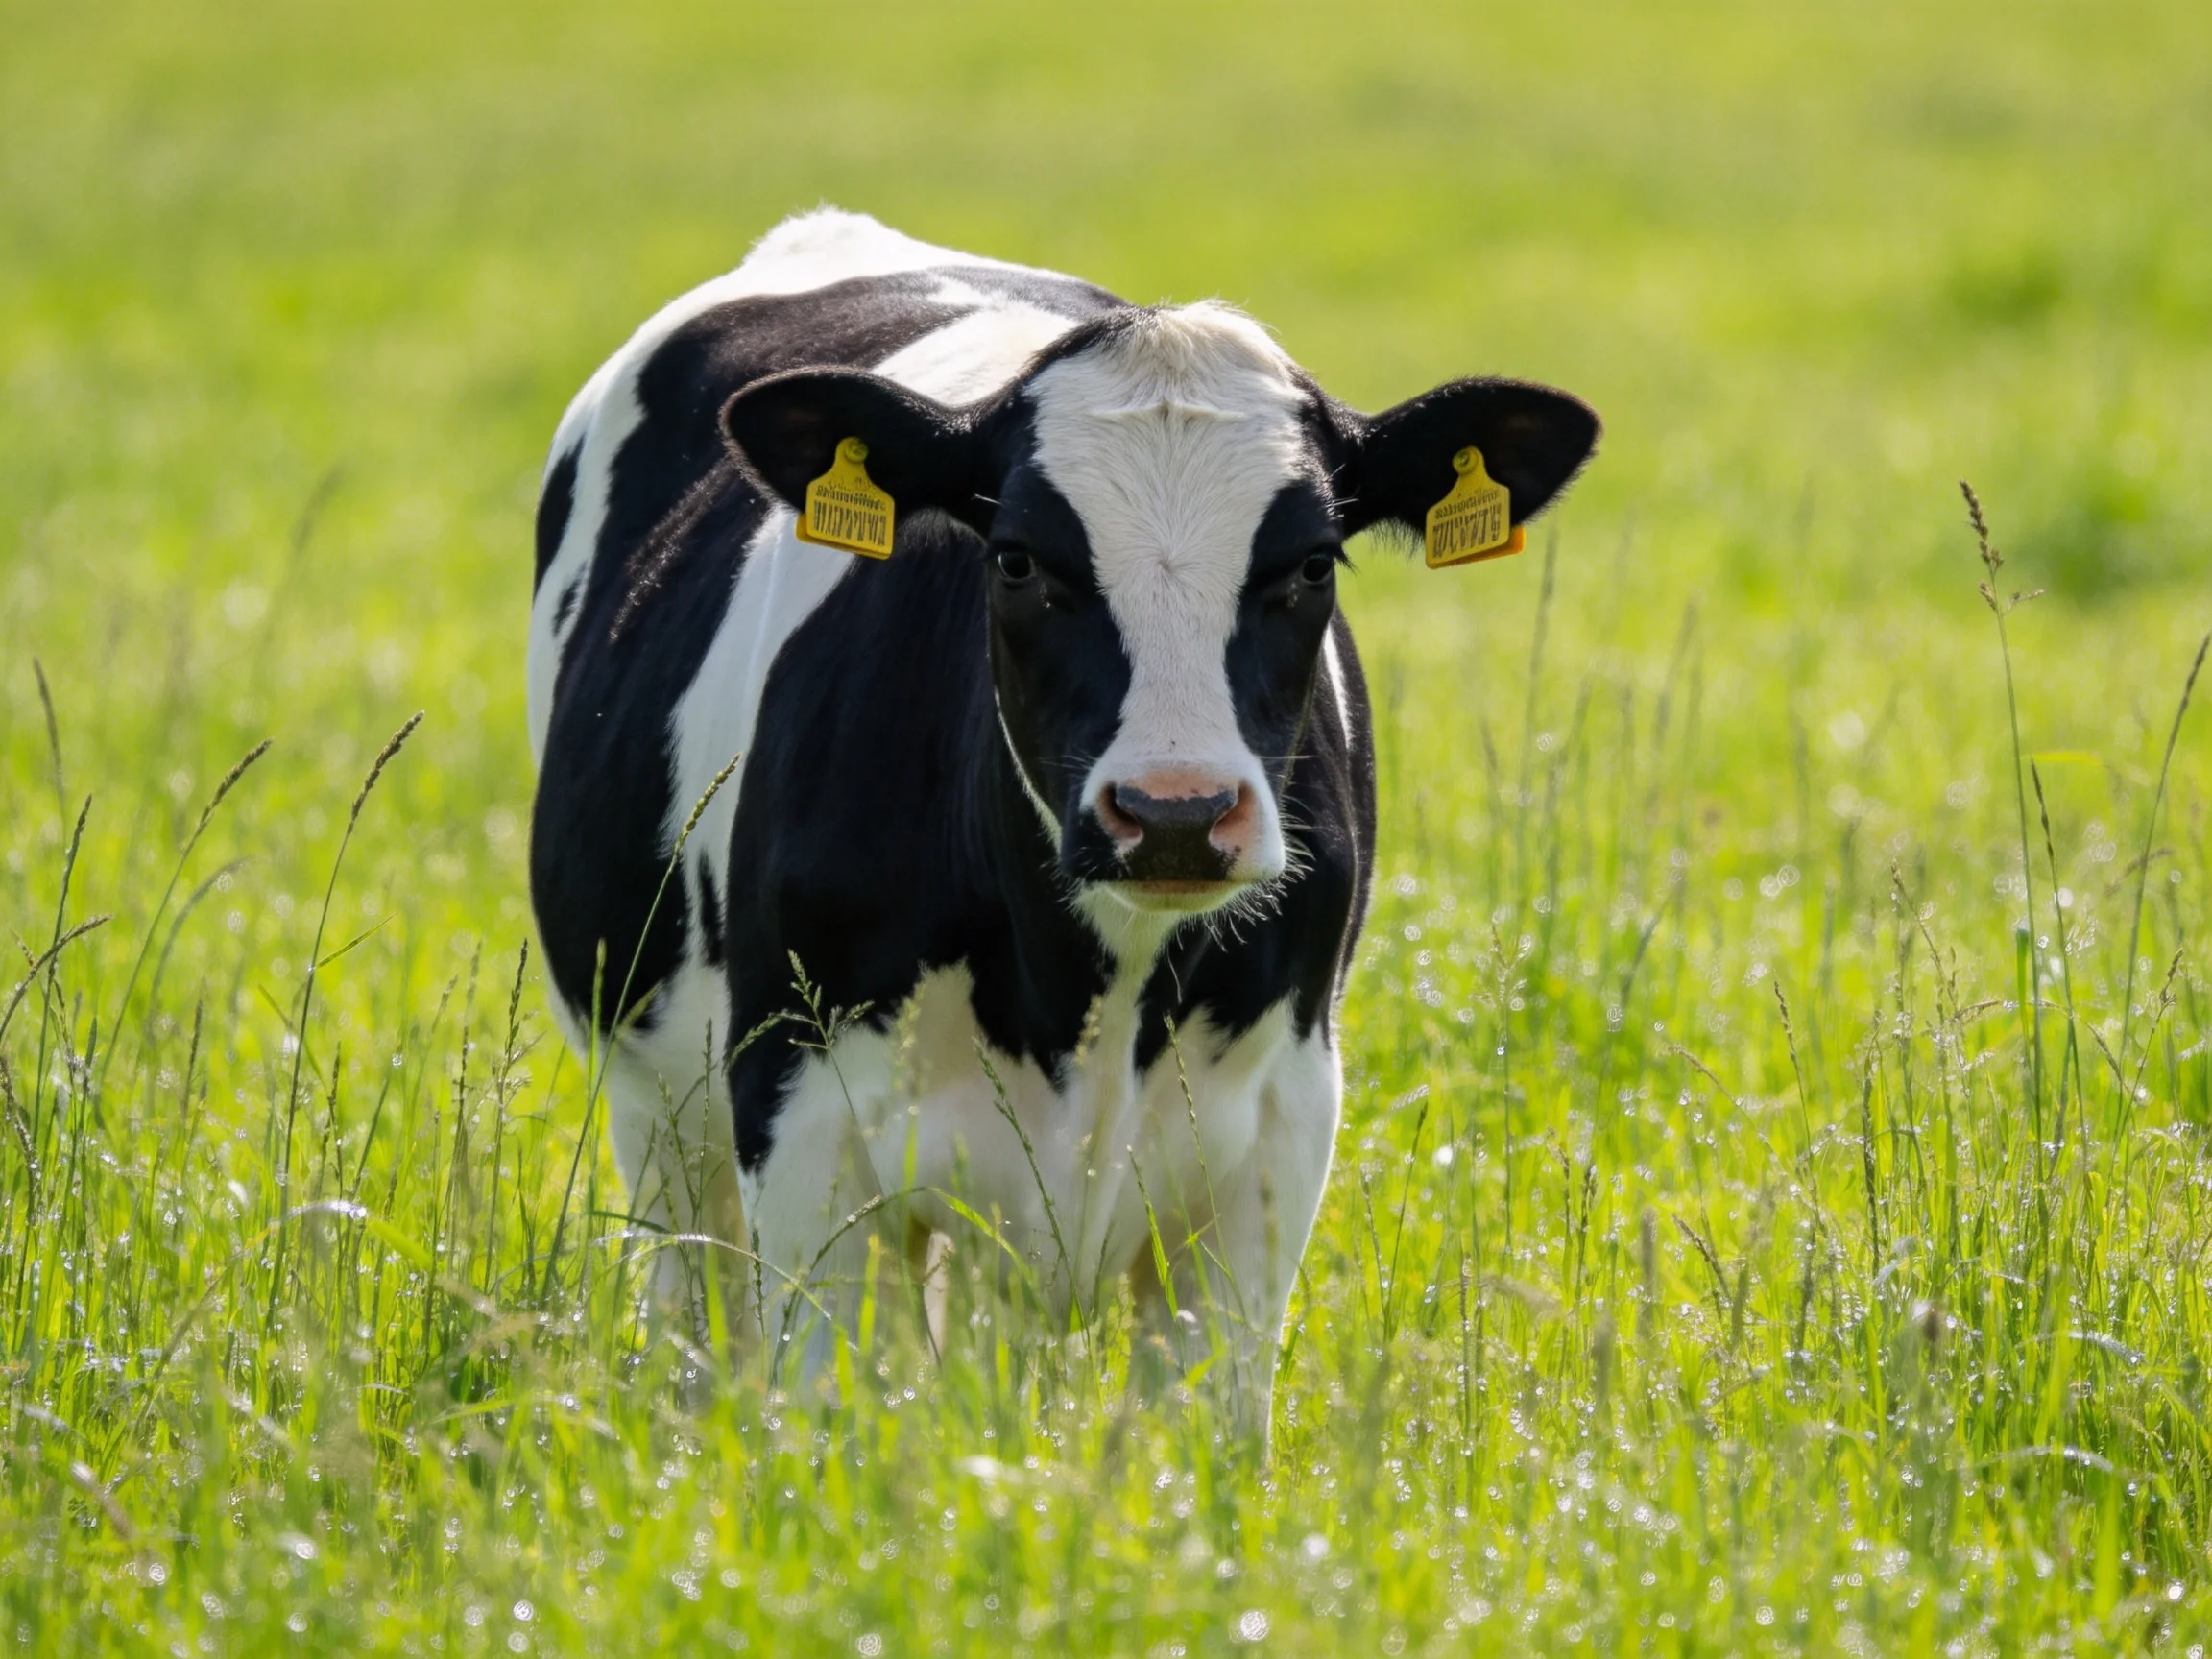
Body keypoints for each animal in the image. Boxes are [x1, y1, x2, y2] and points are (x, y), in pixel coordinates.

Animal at [526, 210, 1597, 1440]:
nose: (1174, 813)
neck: (1089, 988)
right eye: (1018, 559)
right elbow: (839, 1414)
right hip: (654, 1100)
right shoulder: (796, 1117)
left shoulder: (1276, 1135)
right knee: (698, 1310)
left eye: (1312, 562)